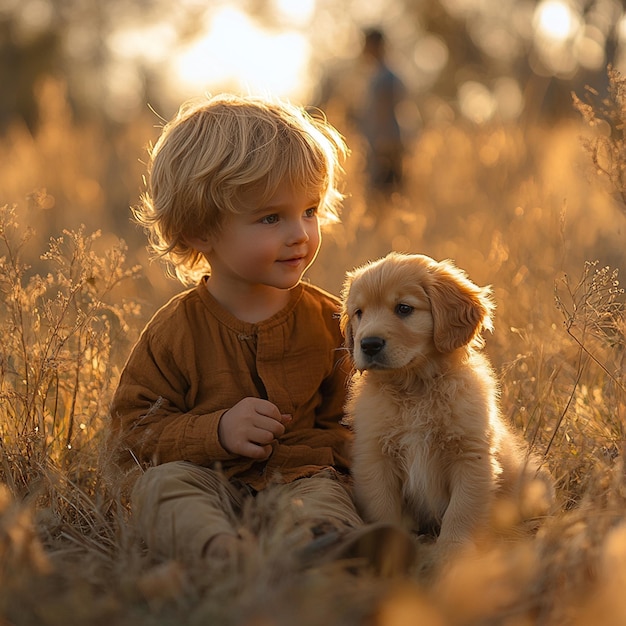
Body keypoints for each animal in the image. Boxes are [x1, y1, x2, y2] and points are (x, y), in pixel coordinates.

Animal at [338, 251, 548, 548]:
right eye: (359, 312)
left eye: (404, 308)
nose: (368, 344)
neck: (416, 389)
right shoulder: (374, 458)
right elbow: (382, 510)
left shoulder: (471, 456)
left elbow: (461, 512)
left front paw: (451, 552)